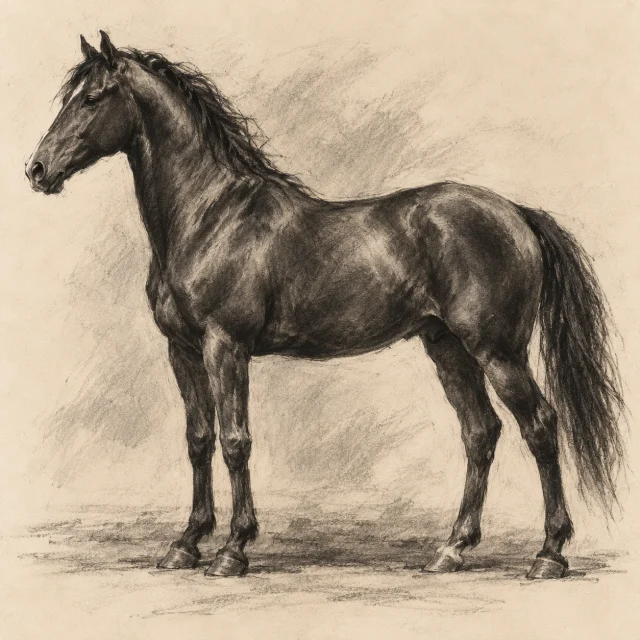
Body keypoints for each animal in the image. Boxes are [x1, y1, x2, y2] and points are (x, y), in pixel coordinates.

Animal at [26, 31, 624, 580]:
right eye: (70, 96)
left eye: (92, 98)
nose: (37, 169)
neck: (209, 216)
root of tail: (516, 212)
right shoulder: (182, 351)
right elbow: (198, 441)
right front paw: (185, 544)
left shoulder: (226, 347)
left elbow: (235, 441)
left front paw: (233, 550)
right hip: (448, 348)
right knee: (480, 433)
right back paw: (452, 549)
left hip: (498, 352)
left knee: (540, 426)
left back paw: (548, 555)